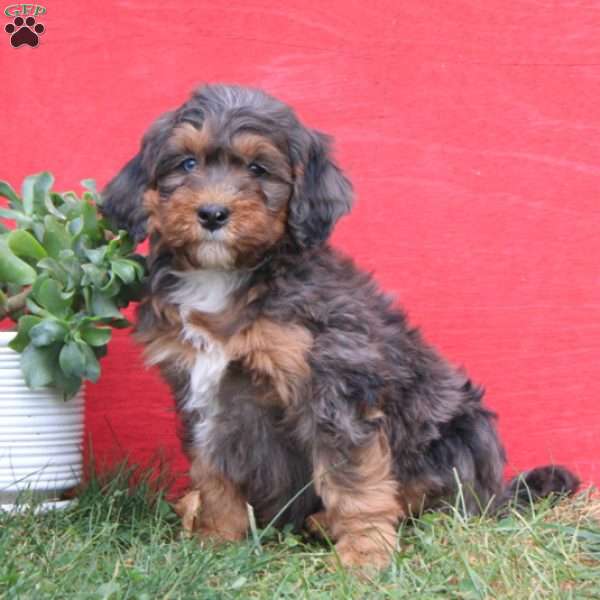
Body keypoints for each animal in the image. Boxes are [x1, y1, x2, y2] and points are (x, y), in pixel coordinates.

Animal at [101, 83, 580, 568]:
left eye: (258, 168)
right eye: (187, 163)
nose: (213, 214)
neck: (227, 276)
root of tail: (498, 492)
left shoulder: (335, 385)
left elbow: (354, 480)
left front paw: (364, 558)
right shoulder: (201, 390)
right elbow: (212, 470)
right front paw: (214, 541)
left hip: (464, 431)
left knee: (438, 498)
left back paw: (328, 522)